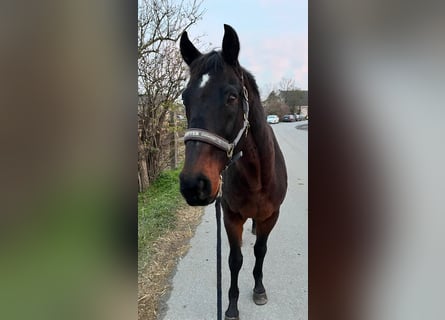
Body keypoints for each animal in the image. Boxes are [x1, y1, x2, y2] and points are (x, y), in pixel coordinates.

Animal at [180, 23, 288, 318]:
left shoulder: (271, 216)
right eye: (184, 98)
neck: (257, 176)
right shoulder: (231, 217)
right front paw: (230, 305)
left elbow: (260, 250)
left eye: (232, 96)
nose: (193, 184)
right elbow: (234, 260)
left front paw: (259, 289)